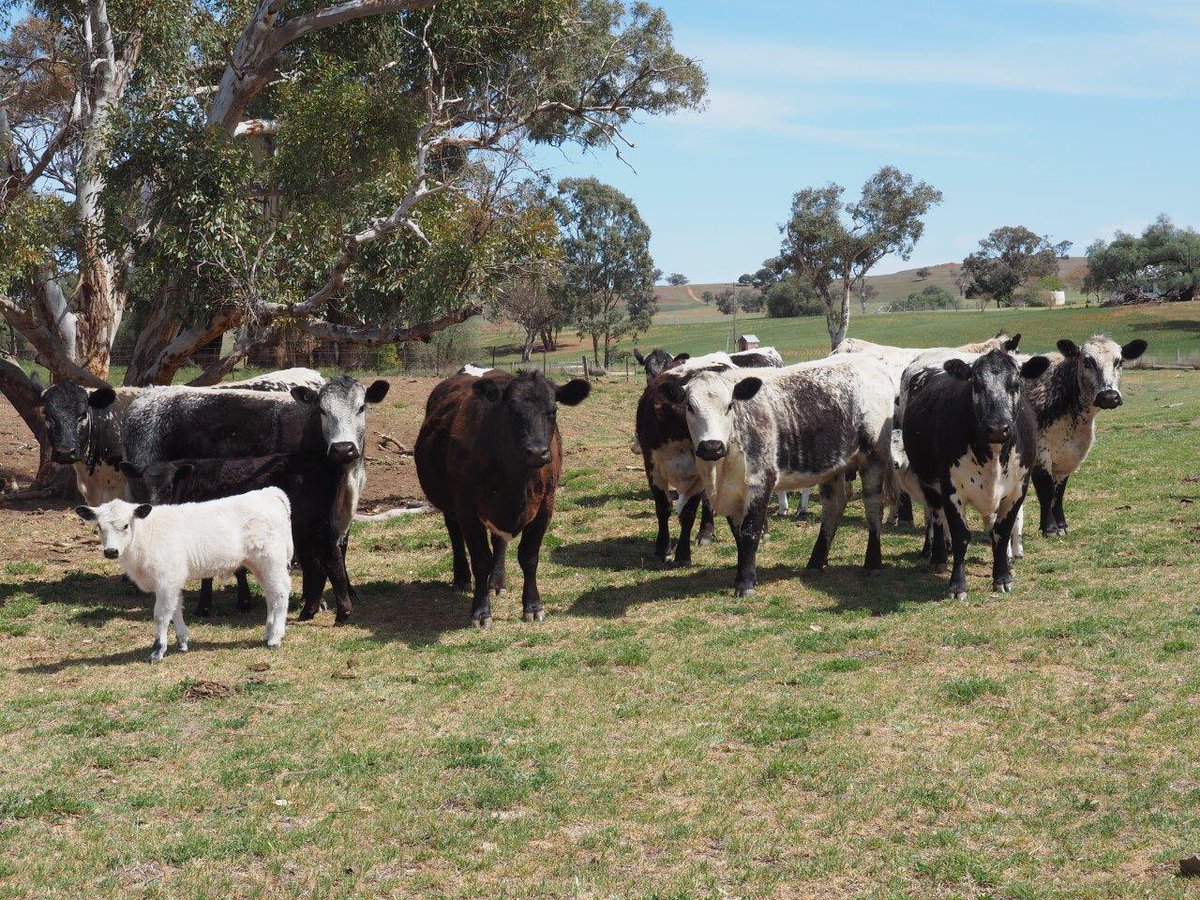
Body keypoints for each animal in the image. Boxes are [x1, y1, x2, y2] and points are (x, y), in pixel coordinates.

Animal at [76, 488, 294, 662]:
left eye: (126, 526)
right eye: (99, 527)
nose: (111, 551)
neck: (145, 535)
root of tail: (269, 492)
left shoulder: (167, 579)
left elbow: (161, 614)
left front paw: (157, 651)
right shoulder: (173, 581)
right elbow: (176, 609)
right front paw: (182, 641)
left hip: (272, 559)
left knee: (281, 593)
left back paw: (275, 638)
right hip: (257, 564)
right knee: (270, 595)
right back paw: (268, 633)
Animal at [415, 369, 590, 628]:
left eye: (553, 410)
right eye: (511, 411)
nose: (537, 452)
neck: (516, 482)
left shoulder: (546, 505)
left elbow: (529, 556)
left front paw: (533, 606)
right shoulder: (466, 507)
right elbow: (480, 559)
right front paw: (481, 612)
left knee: (499, 542)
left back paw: (496, 582)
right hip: (449, 503)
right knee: (455, 533)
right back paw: (462, 577)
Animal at [658, 355, 894, 596]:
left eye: (729, 405)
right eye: (690, 407)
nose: (711, 446)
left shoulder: (760, 482)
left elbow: (750, 532)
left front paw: (746, 584)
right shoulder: (732, 493)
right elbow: (738, 535)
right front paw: (741, 577)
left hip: (873, 458)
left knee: (873, 507)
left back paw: (873, 562)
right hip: (834, 465)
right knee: (834, 506)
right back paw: (816, 561)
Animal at [901, 348, 1051, 600]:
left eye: (1015, 385)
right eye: (977, 385)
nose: (998, 428)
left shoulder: (1017, 490)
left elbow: (1001, 533)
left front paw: (1002, 577)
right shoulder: (951, 490)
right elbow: (960, 535)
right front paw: (957, 585)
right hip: (930, 483)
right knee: (937, 518)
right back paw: (939, 558)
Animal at [1021, 336, 1147, 537]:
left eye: (1119, 362)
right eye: (1087, 362)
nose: (1109, 396)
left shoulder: (1070, 456)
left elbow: (1059, 492)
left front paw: (1062, 526)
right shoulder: (1040, 454)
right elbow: (1046, 491)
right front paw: (1050, 528)